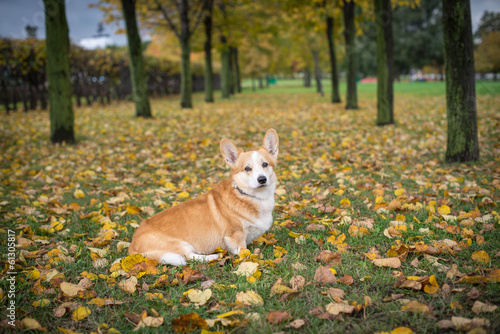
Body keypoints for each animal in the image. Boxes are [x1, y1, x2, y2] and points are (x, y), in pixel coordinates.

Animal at [127, 129, 280, 264]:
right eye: (247, 168)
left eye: (265, 164)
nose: (262, 179)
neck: (247, 195)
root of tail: (132, 247)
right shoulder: (235, 236)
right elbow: (244, 253)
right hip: (179, 244)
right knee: (189, 257)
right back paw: (213, 256)